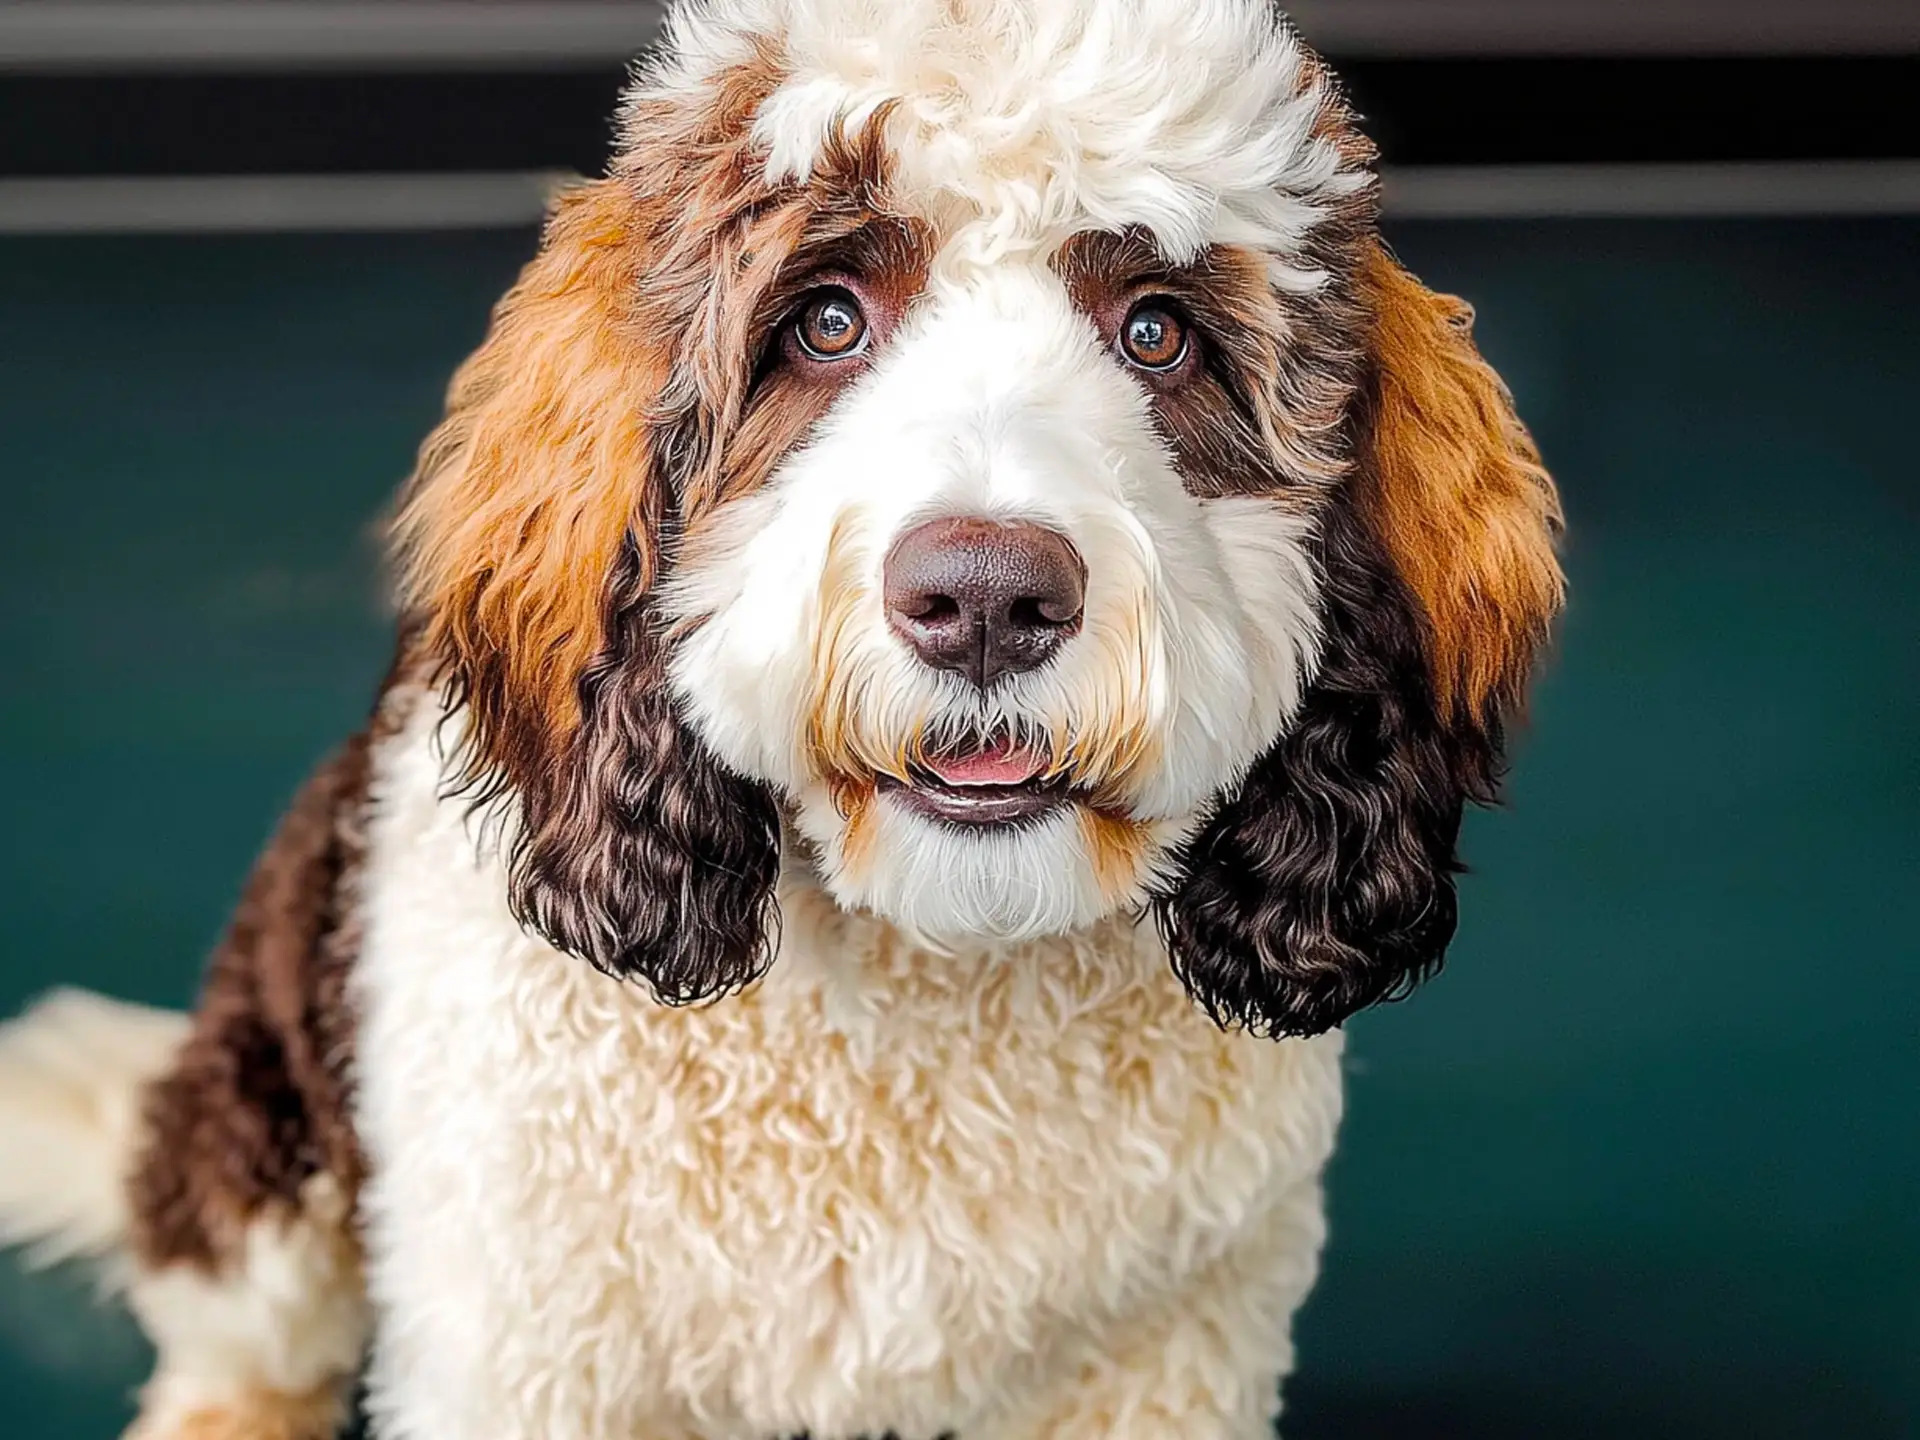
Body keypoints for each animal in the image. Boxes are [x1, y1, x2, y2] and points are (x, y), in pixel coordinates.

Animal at [0, 5, 1559, 1436]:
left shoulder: (1174, 1340)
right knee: (237, 1345)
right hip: (264, 1155)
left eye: (1157, 333)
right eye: (826, 320)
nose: (984, 597)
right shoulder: (528, 1345)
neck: (937, 975)